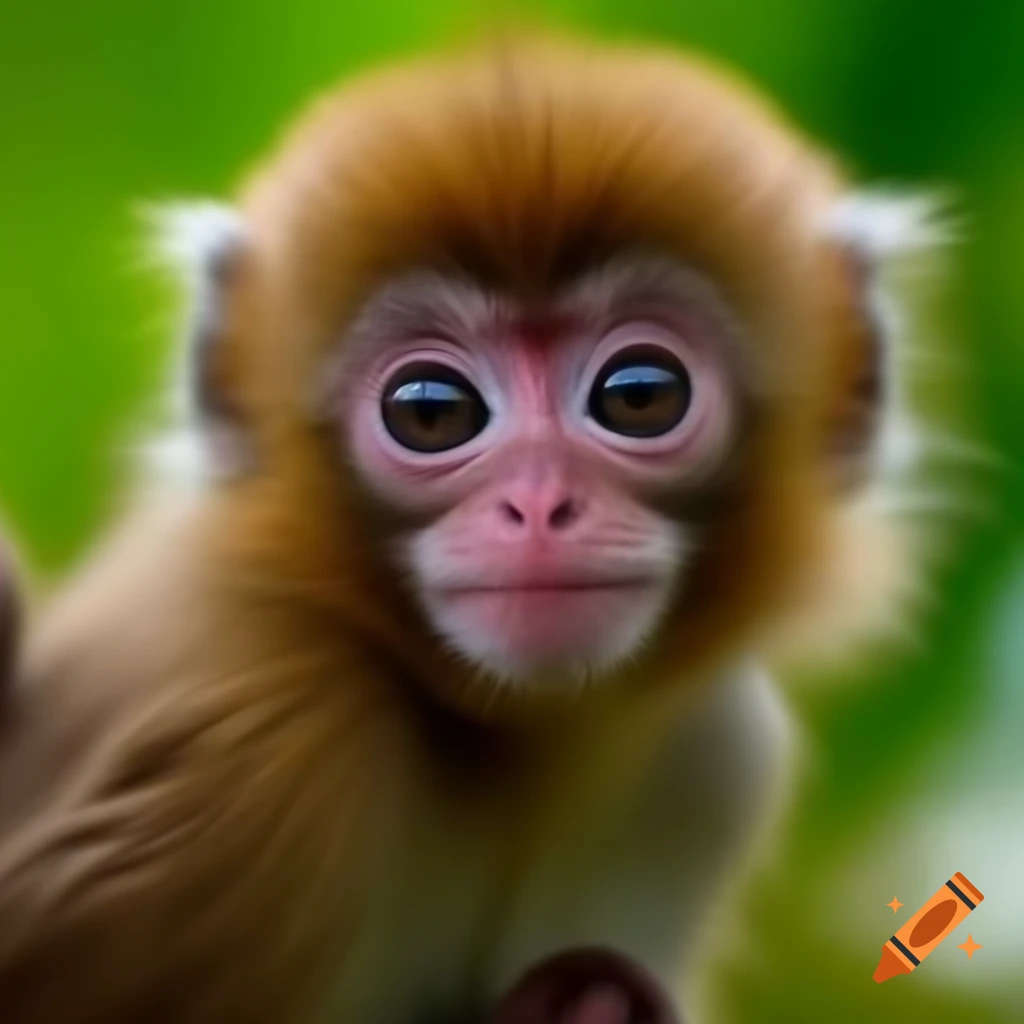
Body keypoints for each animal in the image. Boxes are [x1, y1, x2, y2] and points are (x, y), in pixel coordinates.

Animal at [0, 32, 940, 1024]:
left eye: (639, 395)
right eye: (431, 411)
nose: (538, 507)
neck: (500, 755)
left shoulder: (711, 762)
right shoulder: (269, 739)